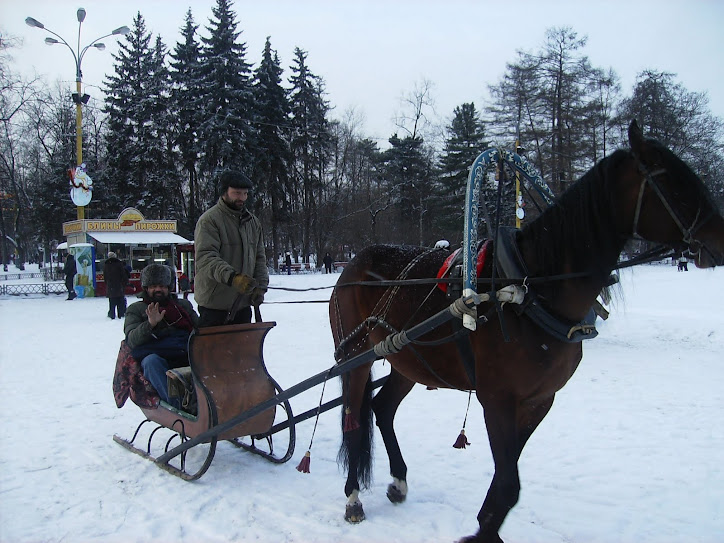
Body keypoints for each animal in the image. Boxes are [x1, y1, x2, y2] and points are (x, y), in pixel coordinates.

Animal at [326, 121, 724, 540]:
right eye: (674, 184)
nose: (720, 241)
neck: (528, 288)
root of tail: (354, 264)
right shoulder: (498, 399)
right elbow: (508, 481)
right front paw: (482, 531)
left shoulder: (538, 400)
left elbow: (507, 482)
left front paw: (486, 524)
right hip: (355, 357)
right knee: (354, 420)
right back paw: (353, 496)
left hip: (410, 360)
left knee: (383, 409)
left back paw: (399, 481)